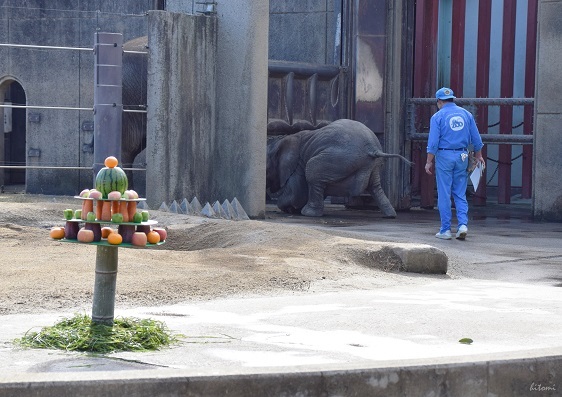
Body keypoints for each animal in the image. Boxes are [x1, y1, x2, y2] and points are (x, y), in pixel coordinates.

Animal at [264, 118, 410, 217]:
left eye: (266, 170)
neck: (280, 141)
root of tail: (373, 149)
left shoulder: (298, 163)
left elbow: (296, 193)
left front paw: (289, 209)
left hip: (339, 158)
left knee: (312, 169)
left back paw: (309, 213)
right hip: (372, 165)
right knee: (375, 186)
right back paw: (390, 214)